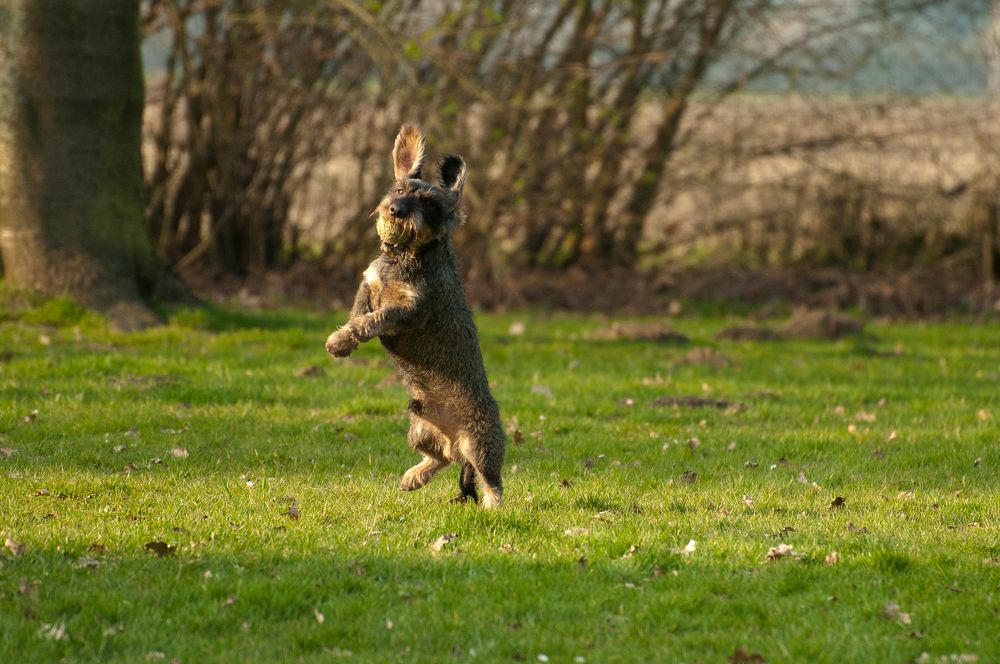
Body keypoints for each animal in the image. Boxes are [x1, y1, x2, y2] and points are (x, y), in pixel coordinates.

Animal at [324, 126, 504, 508]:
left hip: (480, 445)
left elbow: (377, 317)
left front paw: (354, 333)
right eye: (400, 190)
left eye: (431, 205)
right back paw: (413, 477)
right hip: (419, 429)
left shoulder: (411, 310)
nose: (396, 210)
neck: (405, 257)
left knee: (491, 482)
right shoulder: (369, 283)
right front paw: (341, 341)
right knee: (441, 458)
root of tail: (455, 440)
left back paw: (494, 509)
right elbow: (357, 311)